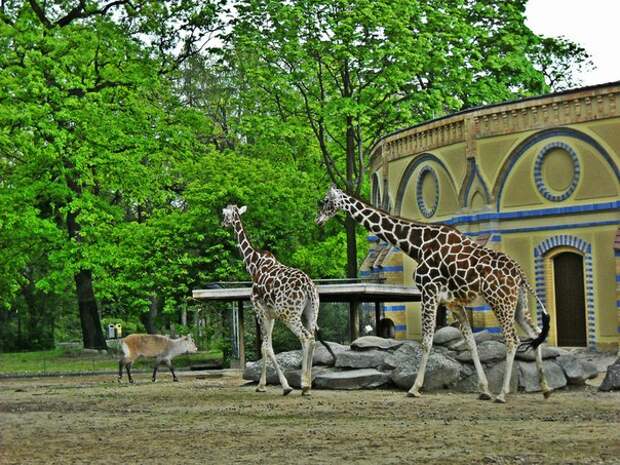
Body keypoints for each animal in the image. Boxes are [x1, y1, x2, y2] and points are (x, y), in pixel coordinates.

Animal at [223, 203, 330, 396]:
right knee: (312, 338)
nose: (223, 224)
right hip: (311, 312)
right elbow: (267, 346)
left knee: (305, 338)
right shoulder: (271, 314)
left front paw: (280, 386)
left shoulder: (260, 310)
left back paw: (304, 385)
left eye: (224, 214)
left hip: (289, 314)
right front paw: (263, 384)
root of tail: (309, 287)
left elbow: (265, 347)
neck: (253, 264)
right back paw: (308, 386)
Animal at [318, 185, 548, 402]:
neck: (417, 244)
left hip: (499, 300)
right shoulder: (454, 303)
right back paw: (544, 389)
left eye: (326, 200)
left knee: (513, 339)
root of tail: (519, 273)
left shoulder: (428, 291)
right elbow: (471, 344)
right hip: (518, 304)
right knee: (535, 333)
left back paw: (502, 394)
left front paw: (414, 388)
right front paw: (483, 390)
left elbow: (427, 341)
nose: (318, 220)